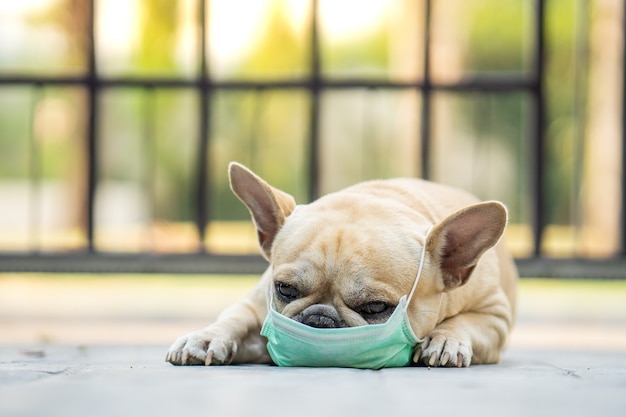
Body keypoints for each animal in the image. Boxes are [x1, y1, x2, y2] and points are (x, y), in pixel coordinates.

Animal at [163, 162, 516, 368]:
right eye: (285, 289)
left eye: (375, 307)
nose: (319, 319)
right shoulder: (257, 302)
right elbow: (235, 316)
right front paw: (205, 338)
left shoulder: (495, 316)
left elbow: (465, 322)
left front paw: (445, 339)